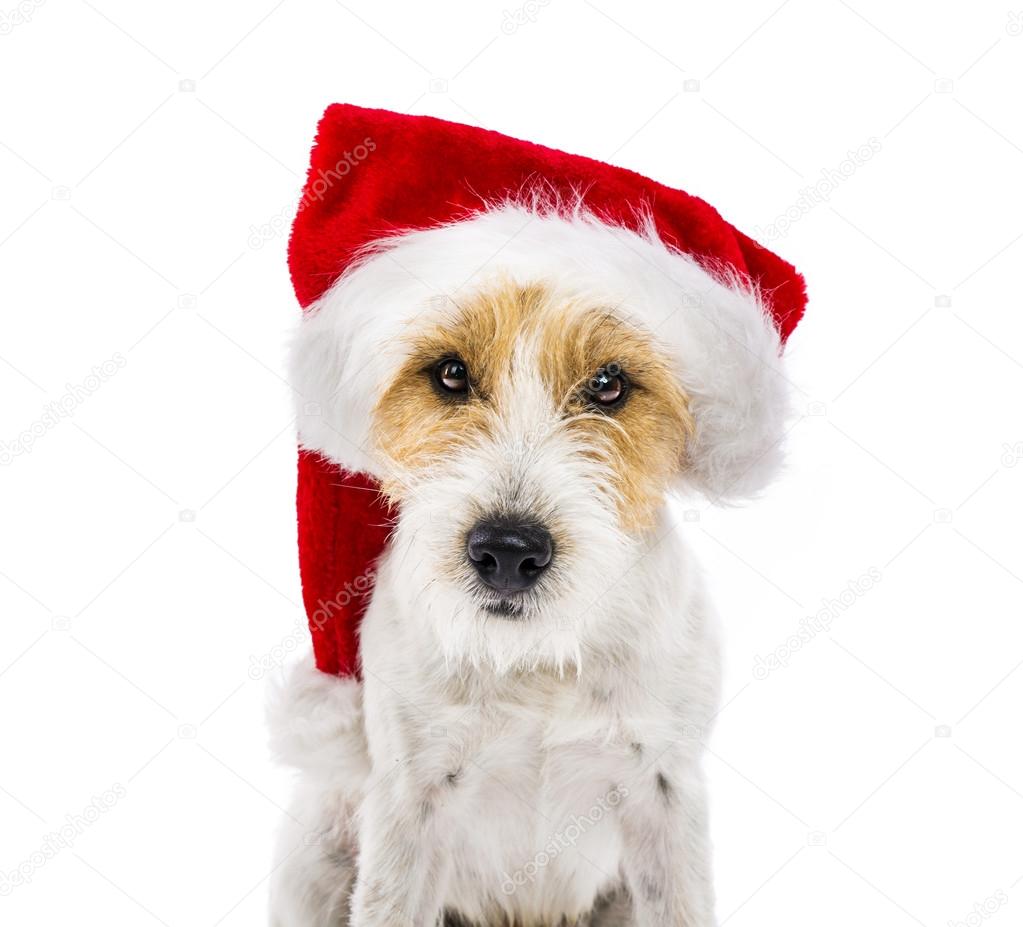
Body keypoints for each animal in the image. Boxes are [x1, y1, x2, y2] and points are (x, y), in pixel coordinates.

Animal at [265, 204, 789, 924]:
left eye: (609, 383)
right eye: (450, 373)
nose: (507, 553)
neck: (535, 660)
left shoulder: (664, 788)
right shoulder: (409, 799)